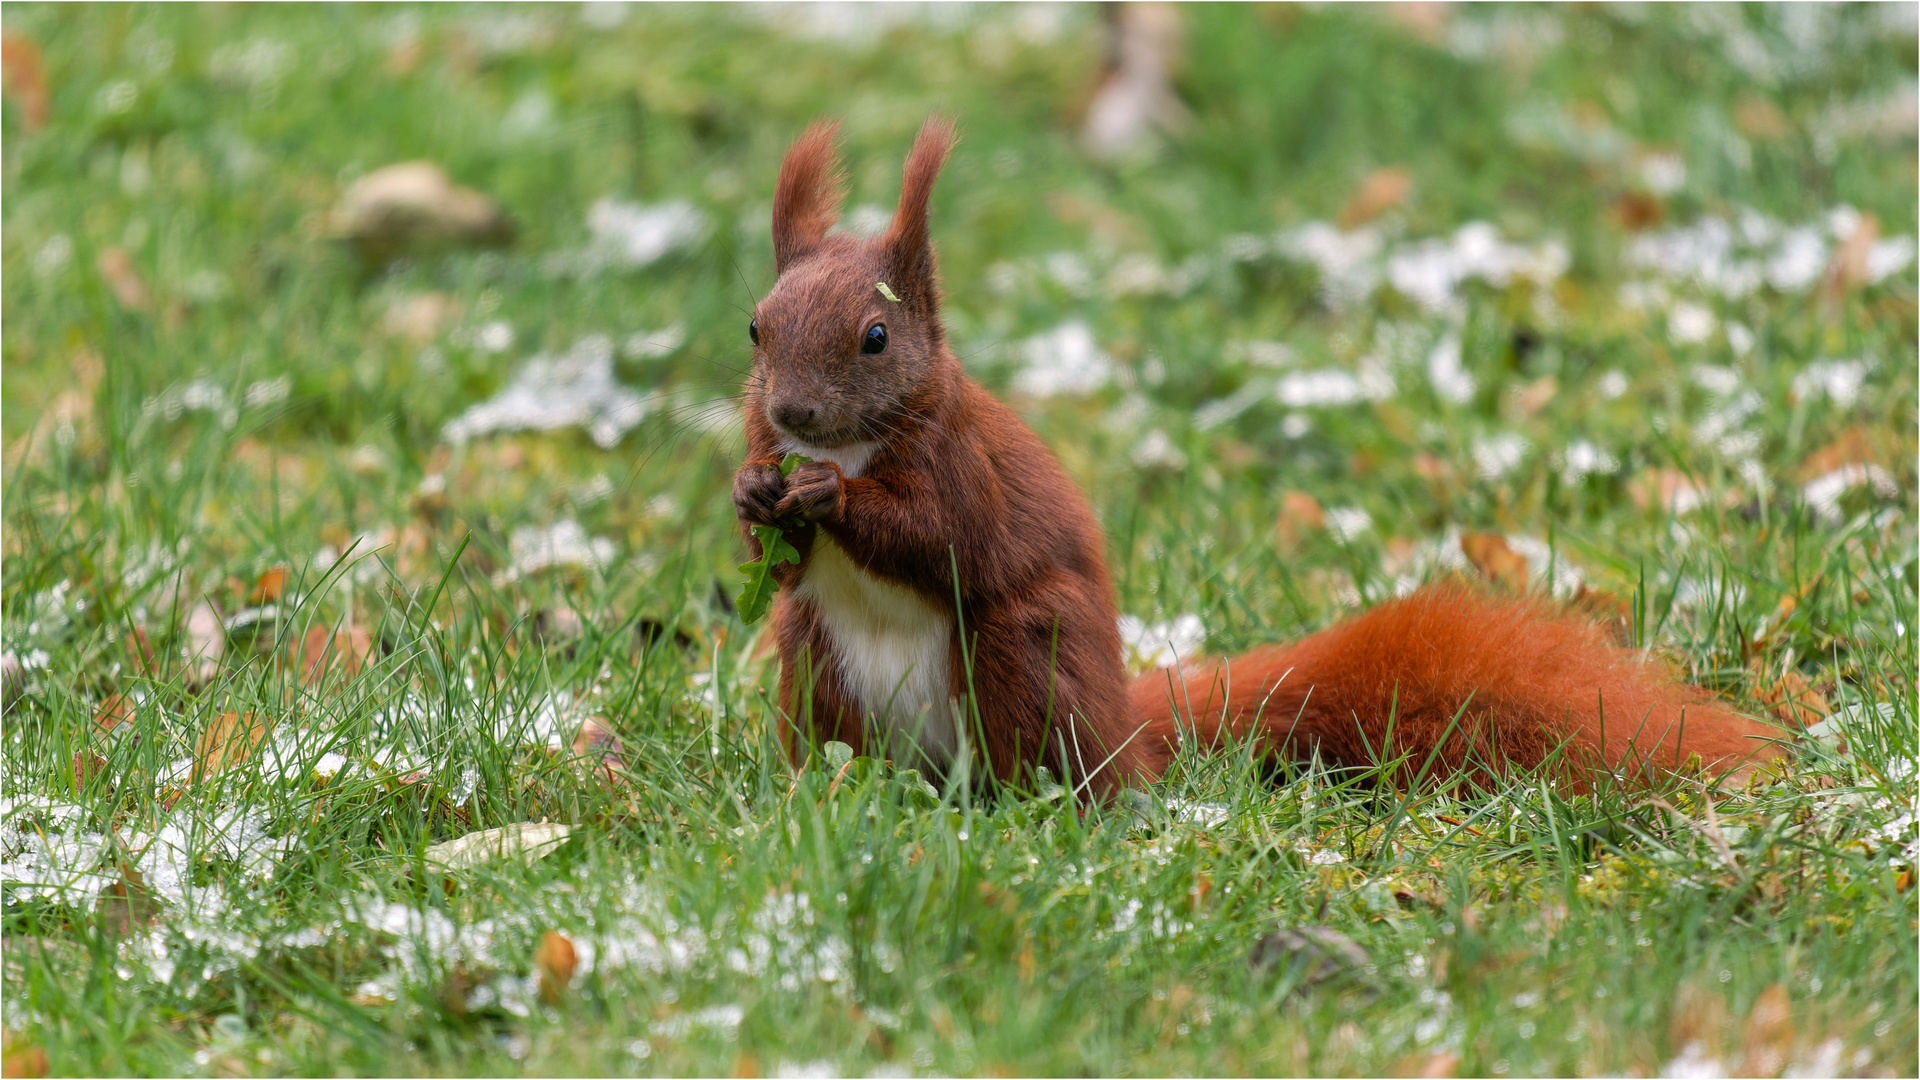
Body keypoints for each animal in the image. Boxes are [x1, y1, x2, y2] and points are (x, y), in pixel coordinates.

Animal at [729, 117, 1781, 795]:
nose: (790, 410)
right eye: (755, 326)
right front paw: (751, 491)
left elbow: (939, 536)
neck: (854, 442)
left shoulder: (959, 464)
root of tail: (1127, 734)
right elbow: (768, 558)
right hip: (816, 666)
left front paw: (829, 499)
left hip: (1024, 654)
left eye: (875, 338)